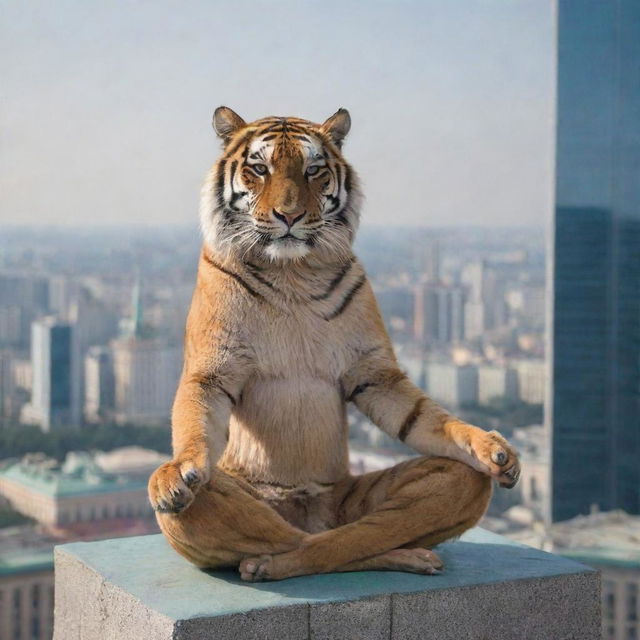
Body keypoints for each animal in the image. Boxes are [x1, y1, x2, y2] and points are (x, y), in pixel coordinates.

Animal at [149, 107, 520, 584]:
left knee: (353, 535)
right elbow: (197, 415)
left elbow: (421, 416)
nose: (288, 216)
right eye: (259, 169)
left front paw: (492, 449)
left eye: (313, 170)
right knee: (280, 534)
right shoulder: (213, 368)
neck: (291, 270)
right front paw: (179, 471)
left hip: (369, 498)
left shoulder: (373, 372)